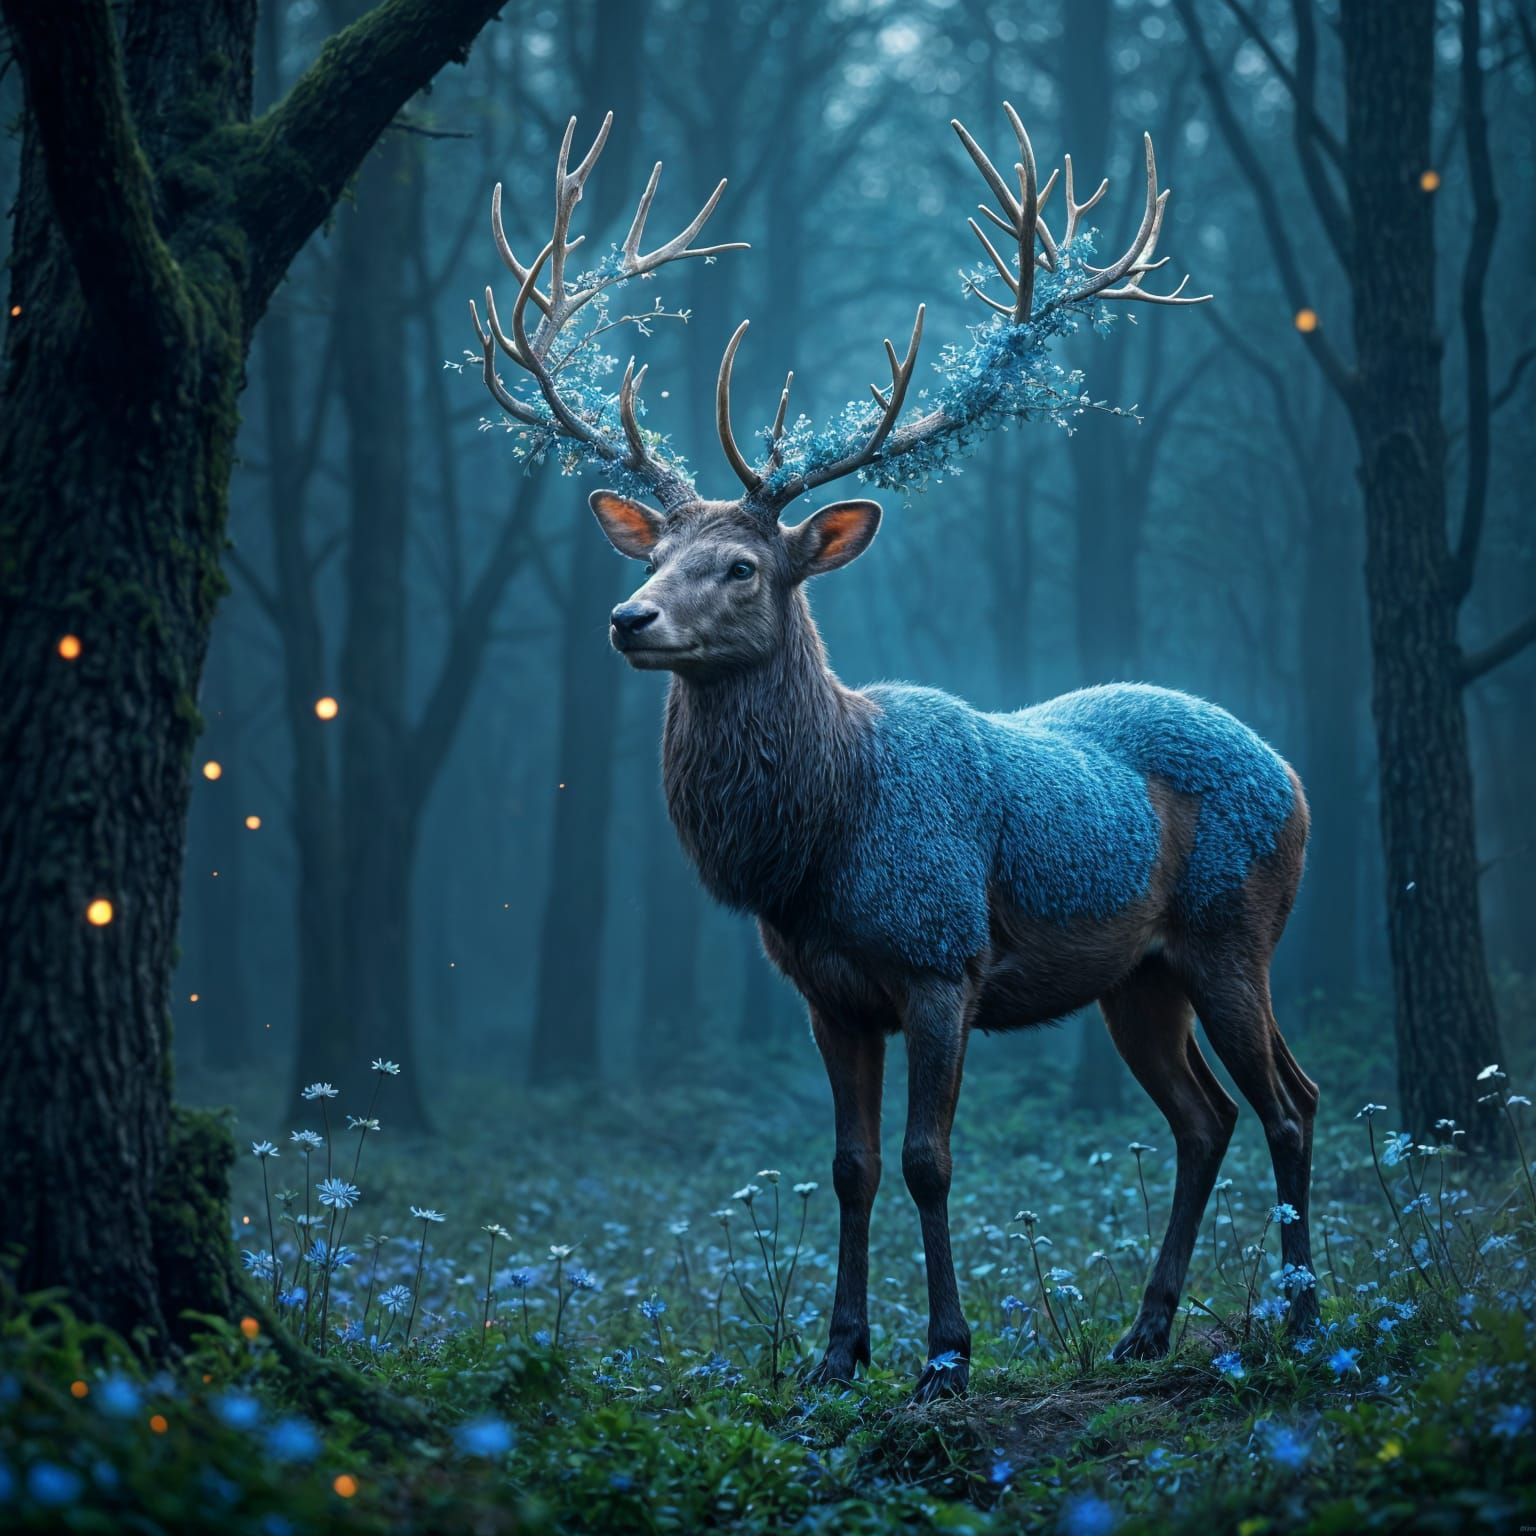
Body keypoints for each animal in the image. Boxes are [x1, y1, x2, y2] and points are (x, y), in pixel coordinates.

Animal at [470, 106, 1319, 1401]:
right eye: (654, 552)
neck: (818, 843)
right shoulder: (828, 992)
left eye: (741, 566)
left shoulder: (938, 957)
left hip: (1234, 928)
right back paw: (1148, 1328)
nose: (629, 618)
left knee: (1284, 1104)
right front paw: (836, 1354)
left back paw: (1305, 1319)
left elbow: (929, 1159)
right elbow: (850, 1166)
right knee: (1209, 1115)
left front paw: (944, 1357)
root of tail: (1293, 774)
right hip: (1139, 975)